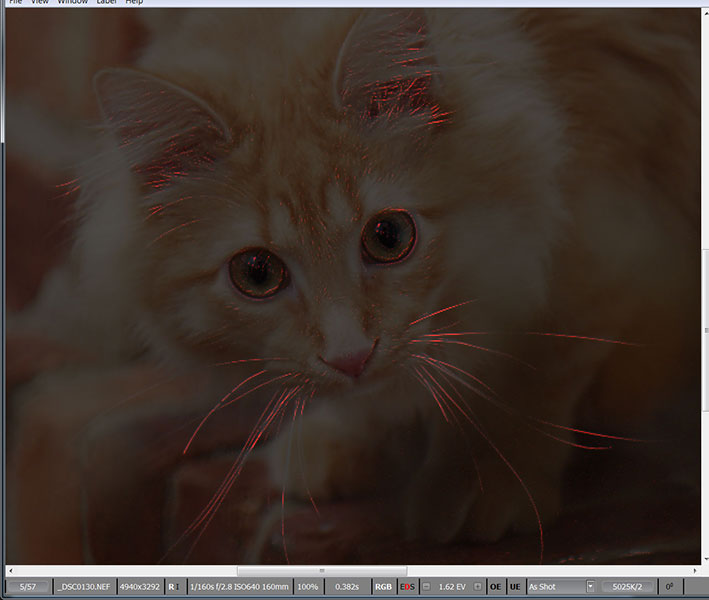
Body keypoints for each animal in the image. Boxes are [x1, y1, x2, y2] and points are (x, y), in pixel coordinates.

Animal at [8, 7, 699, 562]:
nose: (349, 355)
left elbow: (530, 367)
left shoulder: (606, 225)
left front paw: (480, 479)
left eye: (388, 237)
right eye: (257, 273)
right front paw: (343, 434)